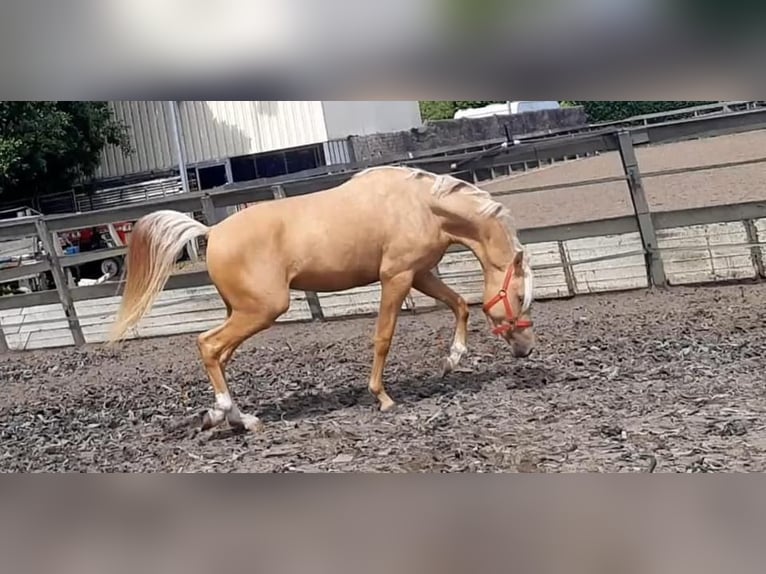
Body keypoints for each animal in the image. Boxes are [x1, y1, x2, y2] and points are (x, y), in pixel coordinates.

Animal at [108, 169, 536, 434]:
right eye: (518, 295)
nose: (527, 349)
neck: (419, 205)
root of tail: (211, 231)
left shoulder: (420, 273)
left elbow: (460, 304)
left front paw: (451, 361)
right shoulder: (395, 278)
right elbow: (383, 337)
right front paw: (383, 398)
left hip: (242, 310)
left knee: (220, 355)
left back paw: (234, 418)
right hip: (263, 309)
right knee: (208, 345)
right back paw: (232, 417)